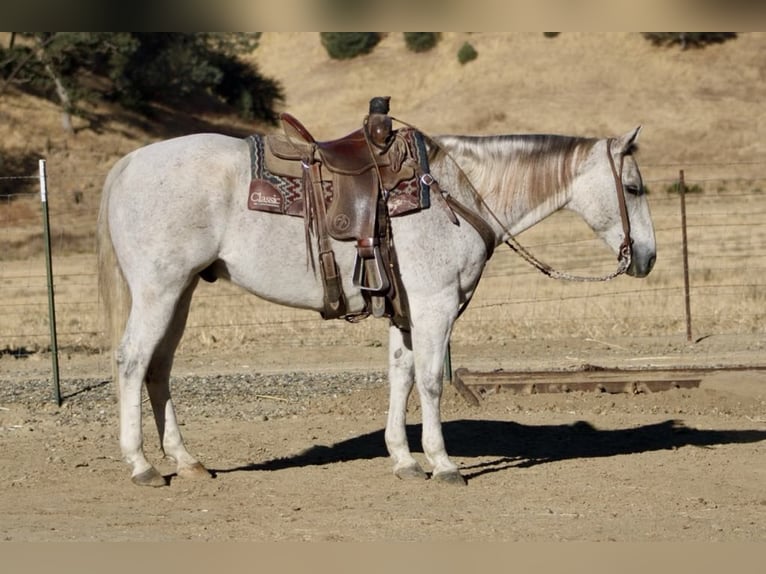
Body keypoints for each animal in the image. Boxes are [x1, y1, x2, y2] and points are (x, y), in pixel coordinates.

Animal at [97, 125, 660, 486]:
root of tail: (127, 164)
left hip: (182, 291)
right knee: (133, 361)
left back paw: (187, 462)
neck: (456, 192)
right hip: (159, 289)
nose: (649, 257)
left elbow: (400, 376)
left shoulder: (406, 312)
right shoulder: (435, 306)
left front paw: (405, 461)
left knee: (159, 368)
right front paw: (443, 464)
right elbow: (430, 381)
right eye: (633, 187)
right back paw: (142, 465)